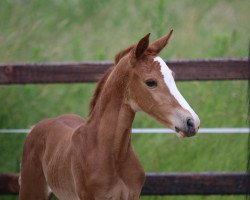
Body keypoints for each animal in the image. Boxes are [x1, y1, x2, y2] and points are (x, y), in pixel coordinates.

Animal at [19, 30, 199, 200]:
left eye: (173, 77)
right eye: (151, 82)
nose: (192, 122)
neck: (112, 156)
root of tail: (37, 127)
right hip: (31, 191)